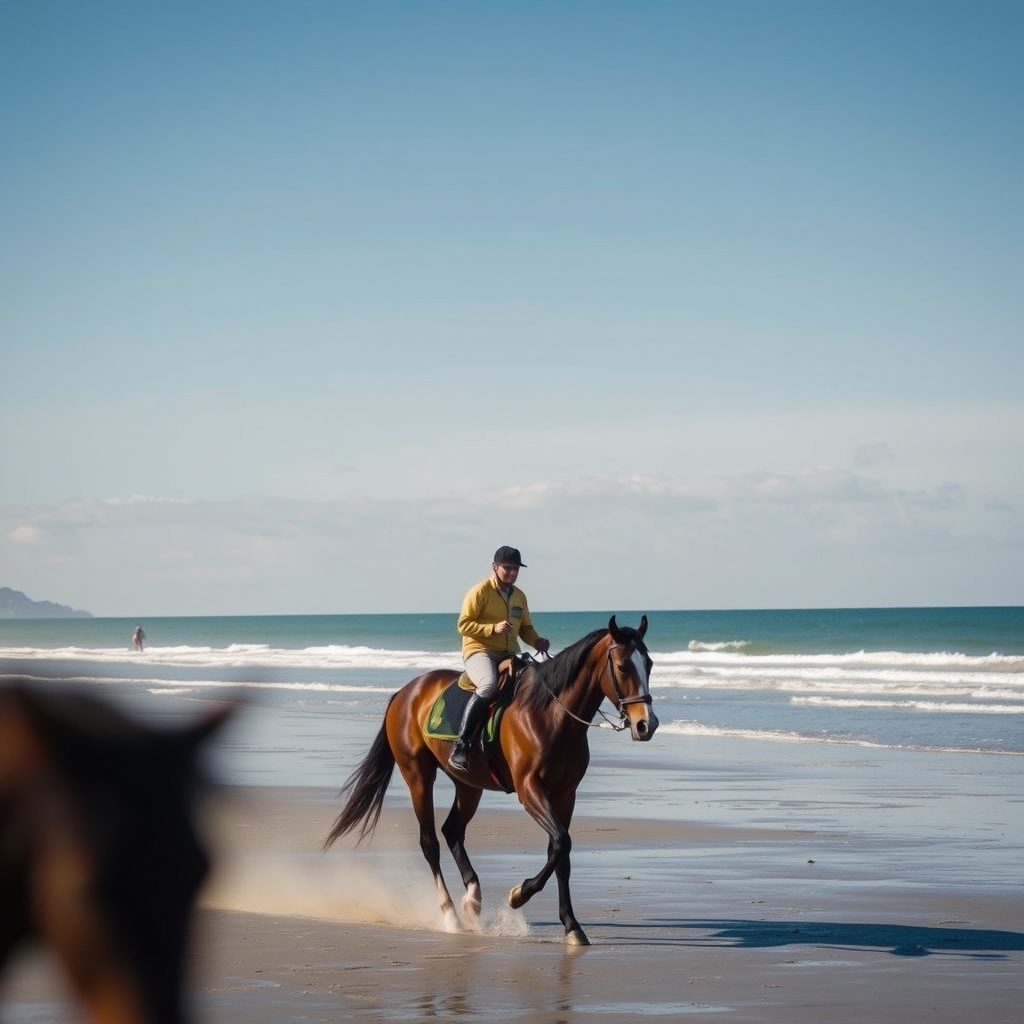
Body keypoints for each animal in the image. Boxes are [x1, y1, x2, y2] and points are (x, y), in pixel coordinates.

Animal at [323, 614, 657, 946]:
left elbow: (560, 852)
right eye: (623, 666)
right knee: (430, 842)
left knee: (452, 830)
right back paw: (450, 914)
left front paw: (571, 925)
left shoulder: (565, 795)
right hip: (418, 776)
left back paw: (472, 900)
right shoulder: (529, 790)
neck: (550, 716)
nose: (647, 724)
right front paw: (519, 895)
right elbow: (562, 842)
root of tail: (406, 692)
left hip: (468, 785)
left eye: (650, 664)